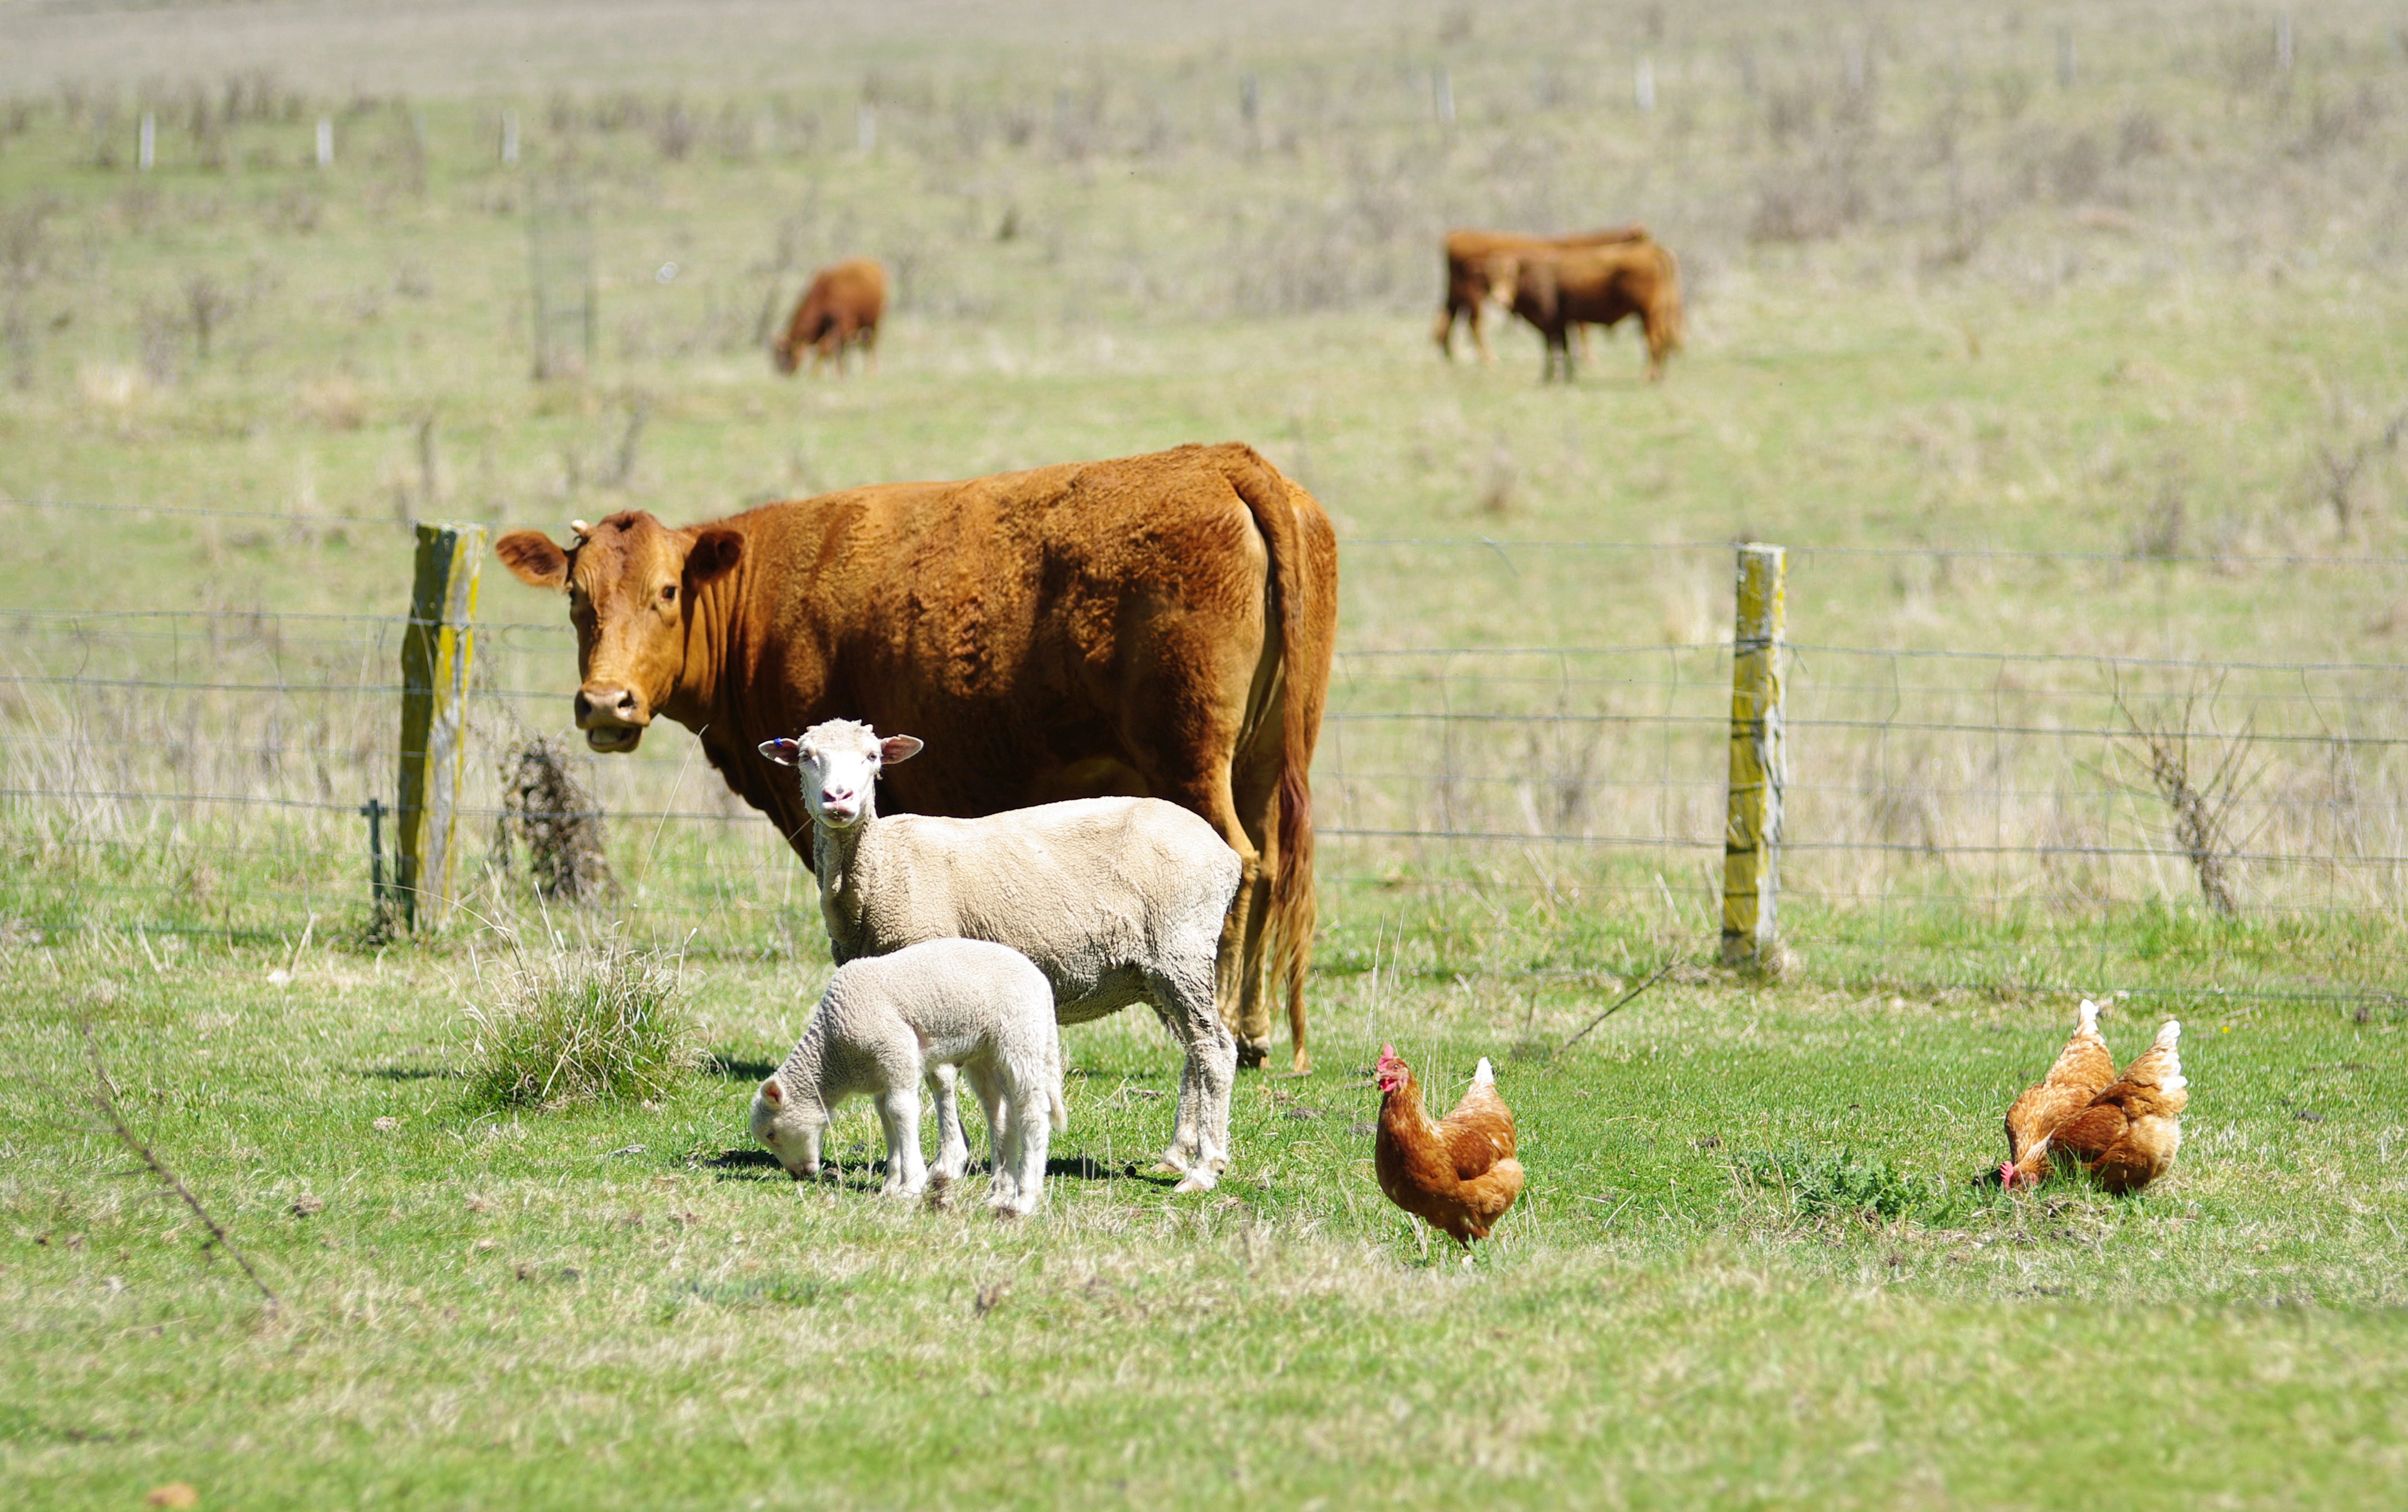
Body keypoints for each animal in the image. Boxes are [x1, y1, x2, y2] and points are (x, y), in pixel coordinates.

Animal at [751, 937, 1066, 1214]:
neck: (835, 1054)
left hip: (1020, 1037)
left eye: (771, 1133)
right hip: (986, 1054)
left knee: (1033, 1113)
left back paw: (1023, 1200)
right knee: (1001, 1117)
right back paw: (998, 1196)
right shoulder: (881, 1074)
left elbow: (900, 1112)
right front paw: (891, 1185)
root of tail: (1043, 985)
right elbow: (886, 1117)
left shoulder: (896, 1051)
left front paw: (911, 1186)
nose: (798, 1174)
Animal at [759, 719, 1244, 1192]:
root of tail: (1227, 854)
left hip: (1181, 947)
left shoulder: (933, 968)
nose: (838, 799)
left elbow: (941, 1075)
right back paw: (1177, 1155)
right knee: (1194, 1051)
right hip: (1157, 969)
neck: (881, 866)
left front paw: (948, 1161)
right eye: (806, 756)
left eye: (873, 756)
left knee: (1216, 1050)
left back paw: (1204, 1169)